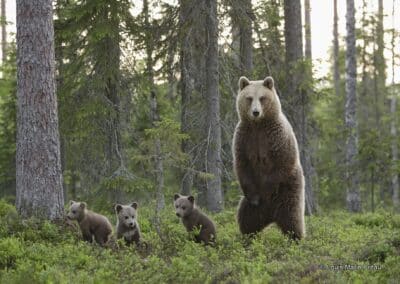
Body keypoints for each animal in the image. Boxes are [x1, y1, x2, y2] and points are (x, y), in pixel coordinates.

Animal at [233, 76, 304, 240]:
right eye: (249, 98)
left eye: (262, 98)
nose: (256, 112)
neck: (259, 126)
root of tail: (271, 215)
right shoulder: (244, 138)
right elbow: (242, 164)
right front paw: (256, 198)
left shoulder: (278, 137)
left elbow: (284, 161)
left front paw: (266, 189)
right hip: (249, 208)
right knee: (246, 220)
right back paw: (248, 238)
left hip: (289, 190)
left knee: (292, 219)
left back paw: (296, 239)